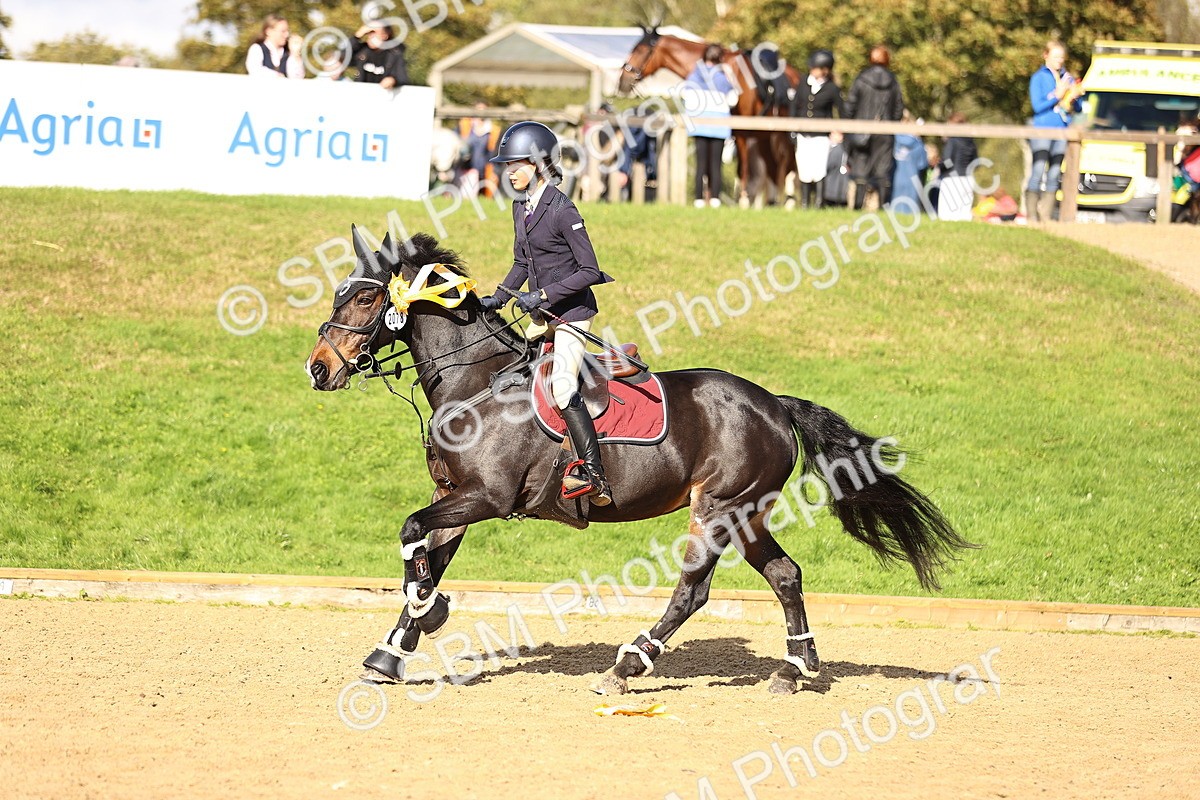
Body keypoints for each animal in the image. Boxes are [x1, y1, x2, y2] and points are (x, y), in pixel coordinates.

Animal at [306, 227, 974, 695]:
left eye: (365, 296)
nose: (317, 368)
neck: (476, 385)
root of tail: (774, 405)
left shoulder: (487, 498)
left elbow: (412, 535)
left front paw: (428, 615)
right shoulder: (455, 497)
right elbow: (426, 557)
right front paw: (395, 647)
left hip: (718, 508)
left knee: (693, 591)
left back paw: (628, 664)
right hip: (747, 513)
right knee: (786, 575)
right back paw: (796, 667)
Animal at [618, 28, 801, 207]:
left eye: (641, 50)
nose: (622, 81)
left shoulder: (743, 133)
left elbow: (742, 169)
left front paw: (740, 201)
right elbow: (711, 169)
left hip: (781, 137)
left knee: (786, 166)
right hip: (765, 137)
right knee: (774, 168)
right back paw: (772, 202)